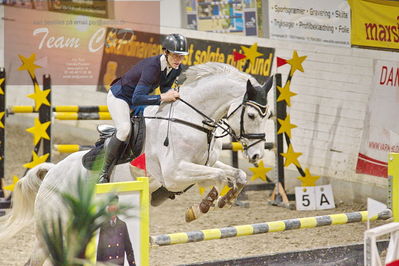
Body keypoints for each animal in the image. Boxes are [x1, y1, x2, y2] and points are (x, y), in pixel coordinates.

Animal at [0, 61, 272, 264]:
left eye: (268, 115)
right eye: (251, 115)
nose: (257, 156)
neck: (191, 119)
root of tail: (52, 171)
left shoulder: (207, 162)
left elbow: (237, 175)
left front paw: (227, 198)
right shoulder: (174, 174)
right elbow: (219, 177)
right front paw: (204, 205)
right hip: (53, 229)